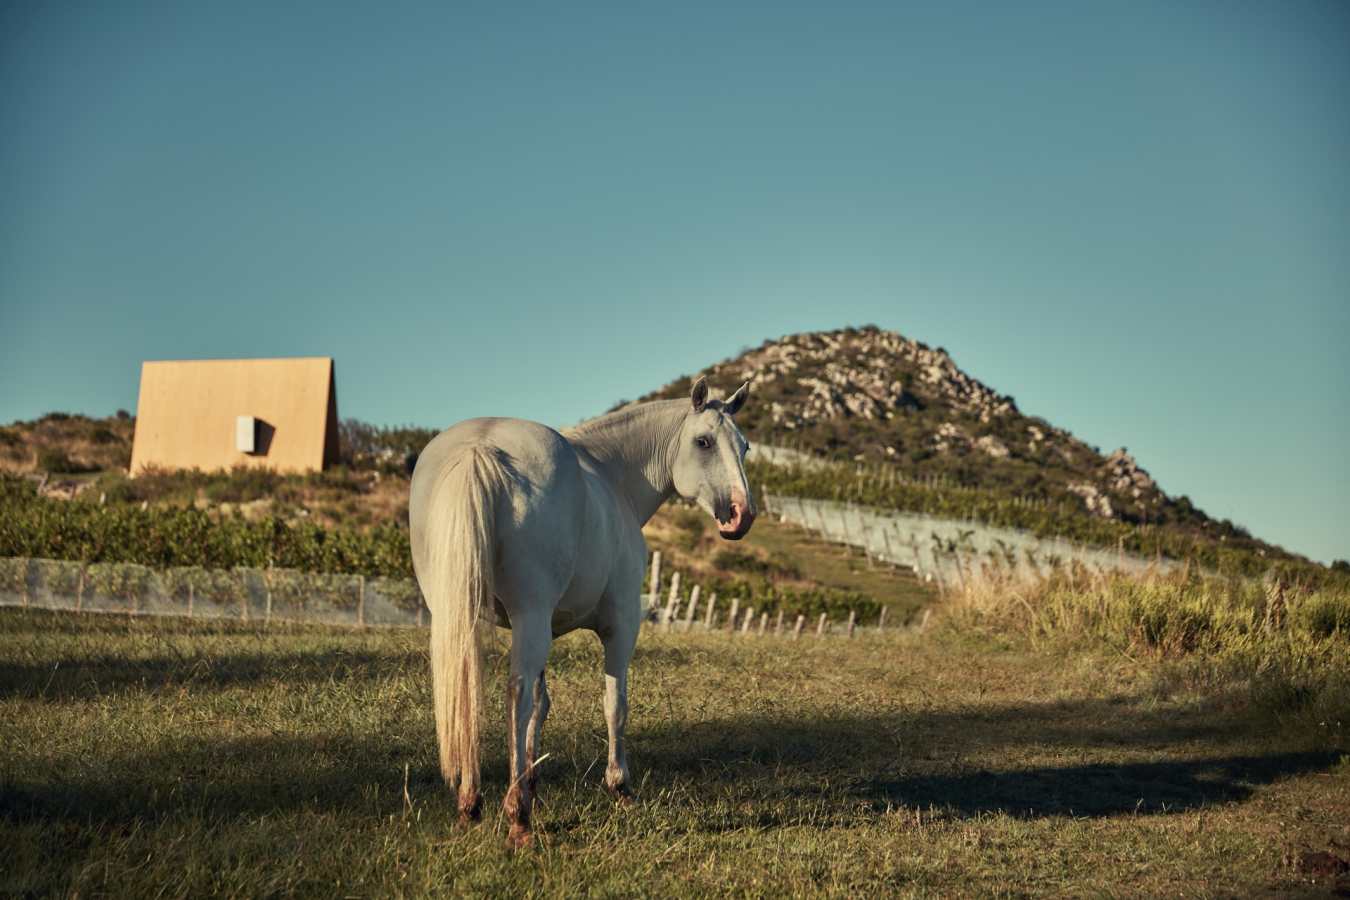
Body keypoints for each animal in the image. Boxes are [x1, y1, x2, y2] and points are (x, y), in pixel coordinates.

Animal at [408, 376, 756, 848]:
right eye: (703, 441)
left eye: (745, 447)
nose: (741, 515)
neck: (613, 477)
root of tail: (480, 447)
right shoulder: (620, 626)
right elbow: (614, 704)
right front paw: (619, 785)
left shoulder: (543, 630)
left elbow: (541, 705)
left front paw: (532, 782)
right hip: (529, 614)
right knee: (514, 693)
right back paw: (516, 817)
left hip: (457, 613)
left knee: (466, 687)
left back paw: (472, 803)